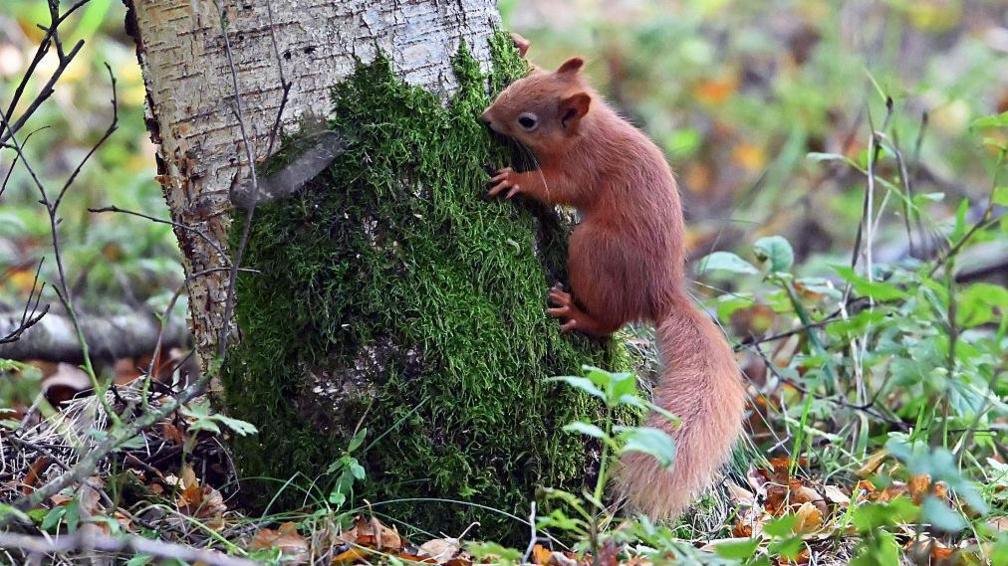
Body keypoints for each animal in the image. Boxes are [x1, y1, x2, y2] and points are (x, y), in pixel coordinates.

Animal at [480, 54, 746, 519]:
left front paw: (515, 180)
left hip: (593, 250)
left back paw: (577, 314)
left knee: (610, 321)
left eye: (528, 122)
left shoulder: (582, 169)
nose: (486, 118)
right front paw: (523, 46)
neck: (589, 130)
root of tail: (660, 294)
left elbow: (554, 187)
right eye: (519, 83)